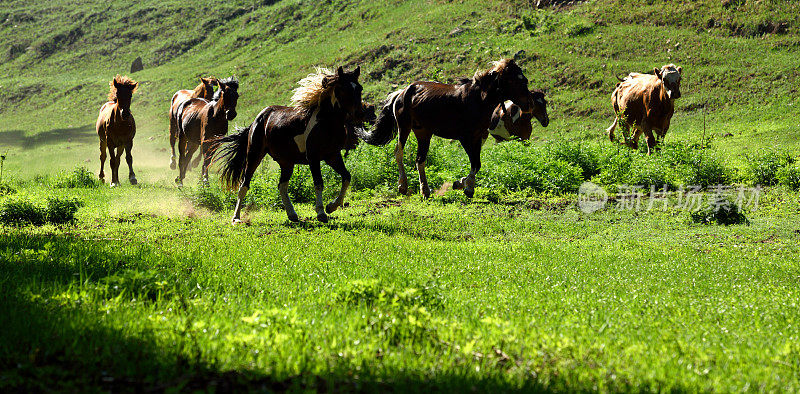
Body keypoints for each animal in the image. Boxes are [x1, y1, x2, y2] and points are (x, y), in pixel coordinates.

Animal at [212, 66, 362, 223]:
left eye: (360, 88)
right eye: (344, 89)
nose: (359, 114)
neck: (327, 123)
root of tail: (257, 120)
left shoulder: (333, 156)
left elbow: (347, 177)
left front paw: (331, 207)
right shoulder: (313, 158)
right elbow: (319, 183)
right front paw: (321, 212)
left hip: (286, 162)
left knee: (282, 186)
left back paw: (292, 214)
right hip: (254, 156)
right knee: (244, 184)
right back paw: (236, 217)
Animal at [358, 57, 536, 200]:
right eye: (516, 81)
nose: (530, 104)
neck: (478, 100)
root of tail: (402, 92)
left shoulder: (480, 137)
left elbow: (477, 164)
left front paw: (461, 183)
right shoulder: (466, 138)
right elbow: (475, 163)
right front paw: (467, 187)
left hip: (423, 132)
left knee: (420, 160)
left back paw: (425, 191)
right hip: (404, 127)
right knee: (399, 153)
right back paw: (403, 186)